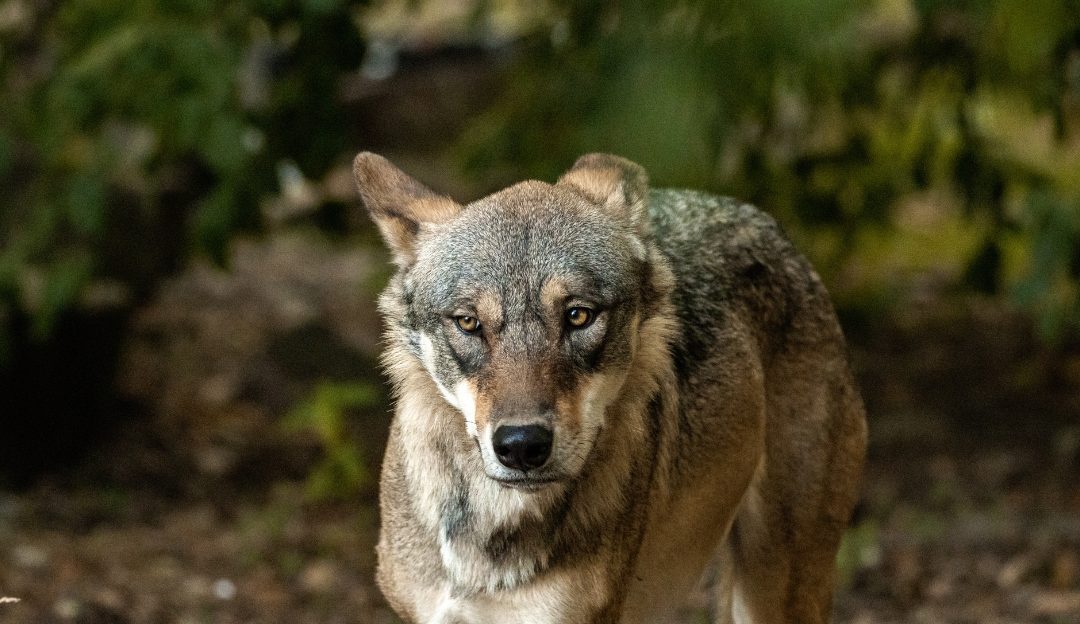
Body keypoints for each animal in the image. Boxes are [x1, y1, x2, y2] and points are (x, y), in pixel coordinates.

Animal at [353, 151, 867, 624]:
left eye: (578, 315)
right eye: (468, 323)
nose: (522, 446)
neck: (490, 536)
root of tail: (765, 223)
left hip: (779, 590)